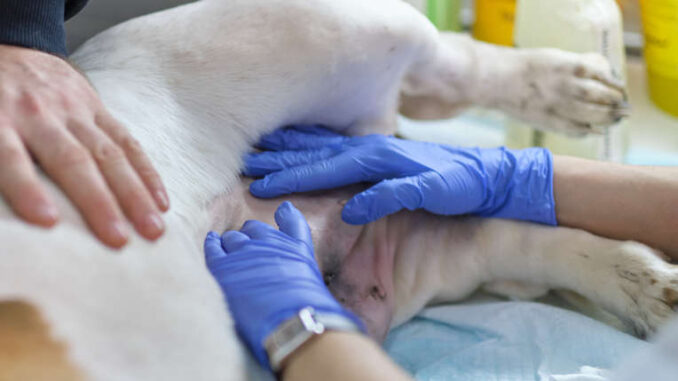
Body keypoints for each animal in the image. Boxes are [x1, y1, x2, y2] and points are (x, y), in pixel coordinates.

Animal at [1, 1, 678, 378]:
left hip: (337, 27)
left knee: (452, 61)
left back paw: (572, 86)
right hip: (423, 247)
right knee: (507, 237)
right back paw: (645, 284)